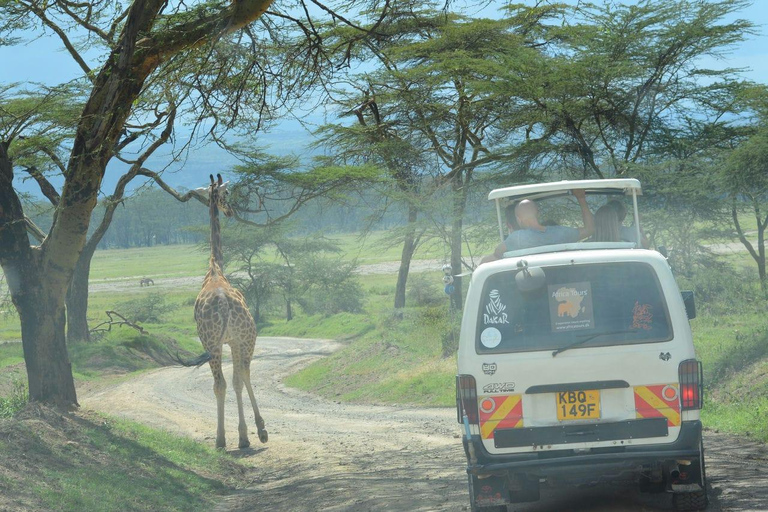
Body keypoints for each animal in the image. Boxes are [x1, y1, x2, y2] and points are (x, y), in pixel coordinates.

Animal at [180, 173, 268, 448]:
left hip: (214, 343)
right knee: (232, 379)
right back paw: (229, 438)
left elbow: (237, 380)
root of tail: (223, 303)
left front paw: (245, 434)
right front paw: (253, 431)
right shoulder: (236, 340)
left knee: (223, 382)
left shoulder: (230, 341)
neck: (215, 267)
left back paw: (222, 439)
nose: (230, 211)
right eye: (227, 193)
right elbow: (240, 379)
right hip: (240, 339)